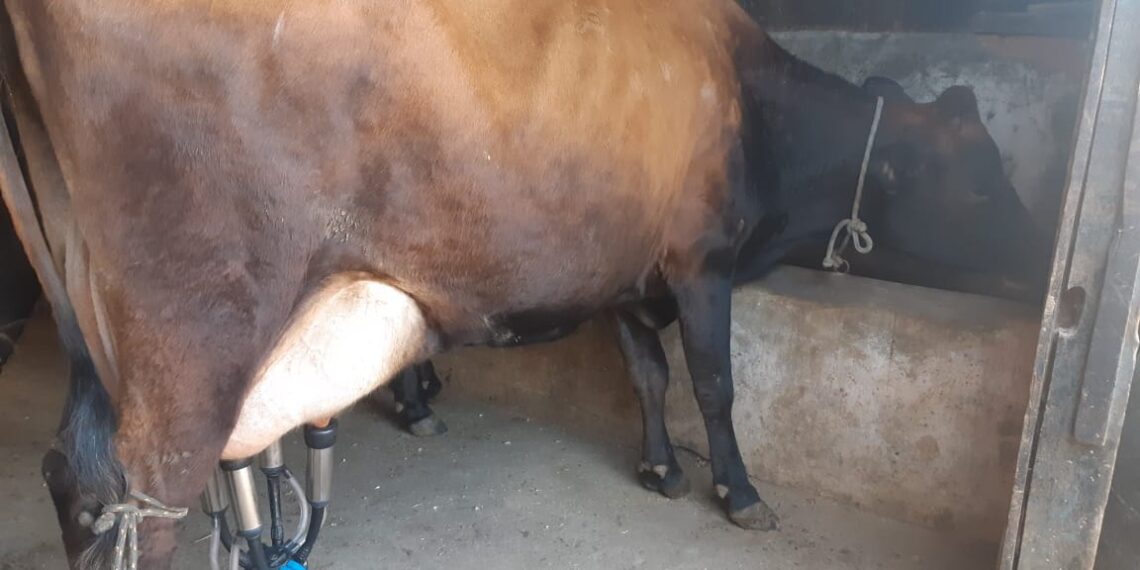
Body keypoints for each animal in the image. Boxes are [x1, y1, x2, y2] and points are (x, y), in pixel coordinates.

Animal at [0, 0, 1049, 568]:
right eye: (982, 179)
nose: (1041, 259)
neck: (753, 109)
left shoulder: (629, 274)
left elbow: (649, 375)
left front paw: (661, 469)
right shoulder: (701, 263)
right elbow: (714, 381)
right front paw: (739, 491)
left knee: (77, 476)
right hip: (197, 326)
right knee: (143, 500)